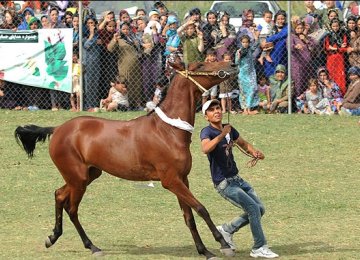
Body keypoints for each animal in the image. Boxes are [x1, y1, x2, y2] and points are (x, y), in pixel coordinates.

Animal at [14, 60, 239, 258]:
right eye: (200, 64)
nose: (232, 64)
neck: (168, 131)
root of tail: (58, 129)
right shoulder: (171, 181)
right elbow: (201, 209)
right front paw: (222, 244)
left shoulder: (183, 179)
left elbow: (189, 217)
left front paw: (204, 251)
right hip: (78, 179)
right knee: (71, 208)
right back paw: (92, 246)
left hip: (87, 175)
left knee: (59, 195)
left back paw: (53, 237)